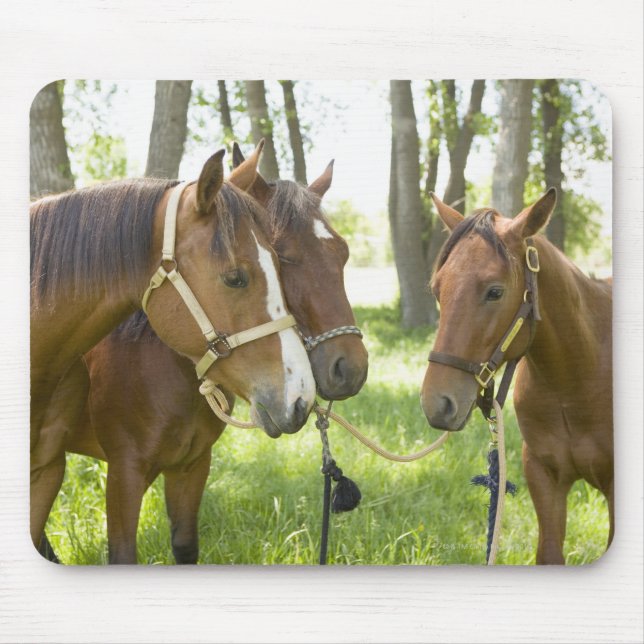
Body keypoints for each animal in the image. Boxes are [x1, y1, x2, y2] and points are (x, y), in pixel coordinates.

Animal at [45, 144, 368, 564]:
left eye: (342, 253)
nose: (351, 368)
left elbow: (185, 546)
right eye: (283, 256)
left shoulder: (193, 466)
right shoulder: (124, 473)